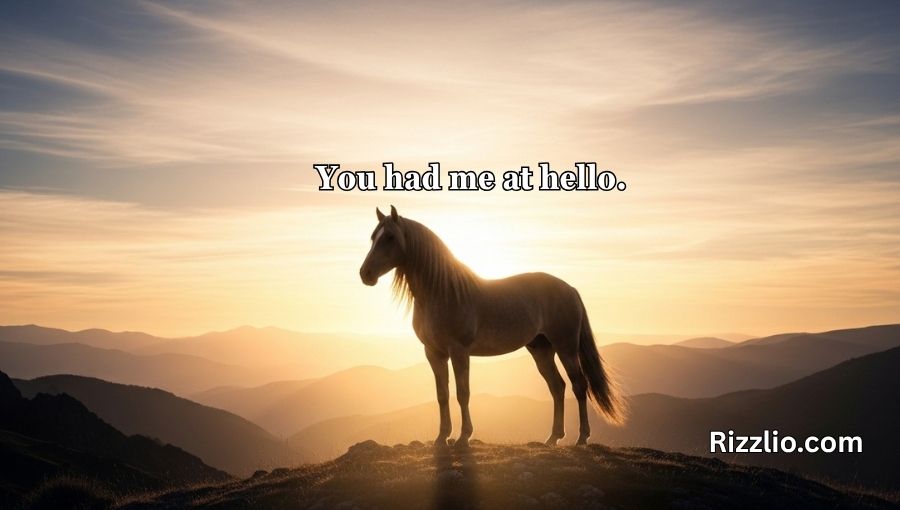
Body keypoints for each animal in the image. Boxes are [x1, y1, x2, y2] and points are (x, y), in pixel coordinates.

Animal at [359, 205, 625, 448]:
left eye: (390, 237)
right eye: (373, 237)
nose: (365, 274)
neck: (442, 292)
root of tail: (570, 289)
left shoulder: (459, 351)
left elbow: (462, 392)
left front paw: (463, 437)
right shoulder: (433, 353)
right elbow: (442, 395)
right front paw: (441, 438)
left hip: (566, 347)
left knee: (579, 385)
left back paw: (581, 438)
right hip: (541, 349)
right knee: (557, 387)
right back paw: (552, 438)